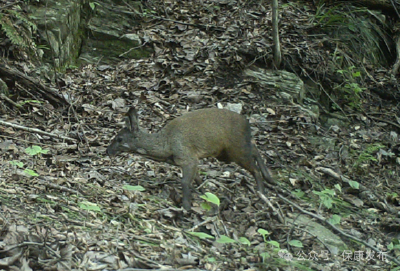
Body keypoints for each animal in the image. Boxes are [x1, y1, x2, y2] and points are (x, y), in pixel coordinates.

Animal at [107, 107, 276, 210]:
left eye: (119, 139)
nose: (107, 151)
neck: (166, 146)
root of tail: (247, 123)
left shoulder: (188, 157)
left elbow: (184, 181)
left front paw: (186, 206)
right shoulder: (192, 159)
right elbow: (198, 180)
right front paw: (206, 197)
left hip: (235, 150)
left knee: (254, 166)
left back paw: (262, 194)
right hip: (226, 153)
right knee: (254, 147)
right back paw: (270, 180)